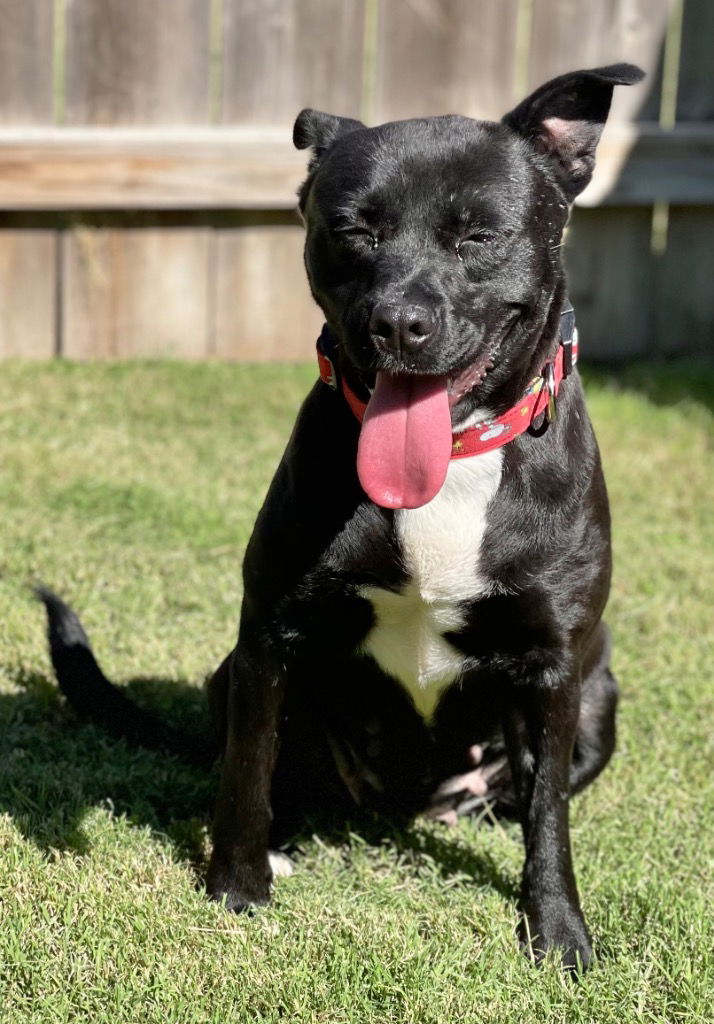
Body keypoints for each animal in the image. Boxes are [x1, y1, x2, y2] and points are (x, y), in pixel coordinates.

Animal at [40, 64, 639, 966]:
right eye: (355, 229)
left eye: (478, 236)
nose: (397, 322)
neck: (454, 463)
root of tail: (403, 810)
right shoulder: (269, 635)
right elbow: (247, 773)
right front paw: (238, 885)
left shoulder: (553, 668)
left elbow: (549, 819)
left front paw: (558, 933)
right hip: (231, 676)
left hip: (598, 698)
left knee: (529, 789)